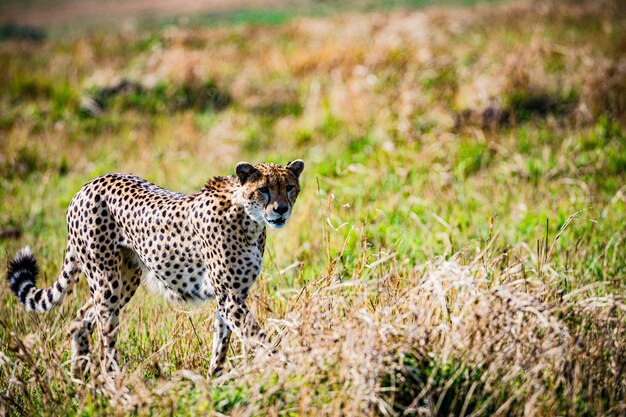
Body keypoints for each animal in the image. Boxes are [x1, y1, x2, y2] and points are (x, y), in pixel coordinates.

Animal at [6, 159, 304, 376]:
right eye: (264, 189)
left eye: (289, 187)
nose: (281, 210)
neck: (248, 218)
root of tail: (87, 186)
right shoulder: (231, 298)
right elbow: (259, 337)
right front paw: (286, 367)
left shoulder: (231, 298)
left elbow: (222, 343)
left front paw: (214, 381)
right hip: (106, 281)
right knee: (105, 337)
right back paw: (113, 382)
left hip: (126, 280)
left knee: (82, 316)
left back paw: (79, 375)